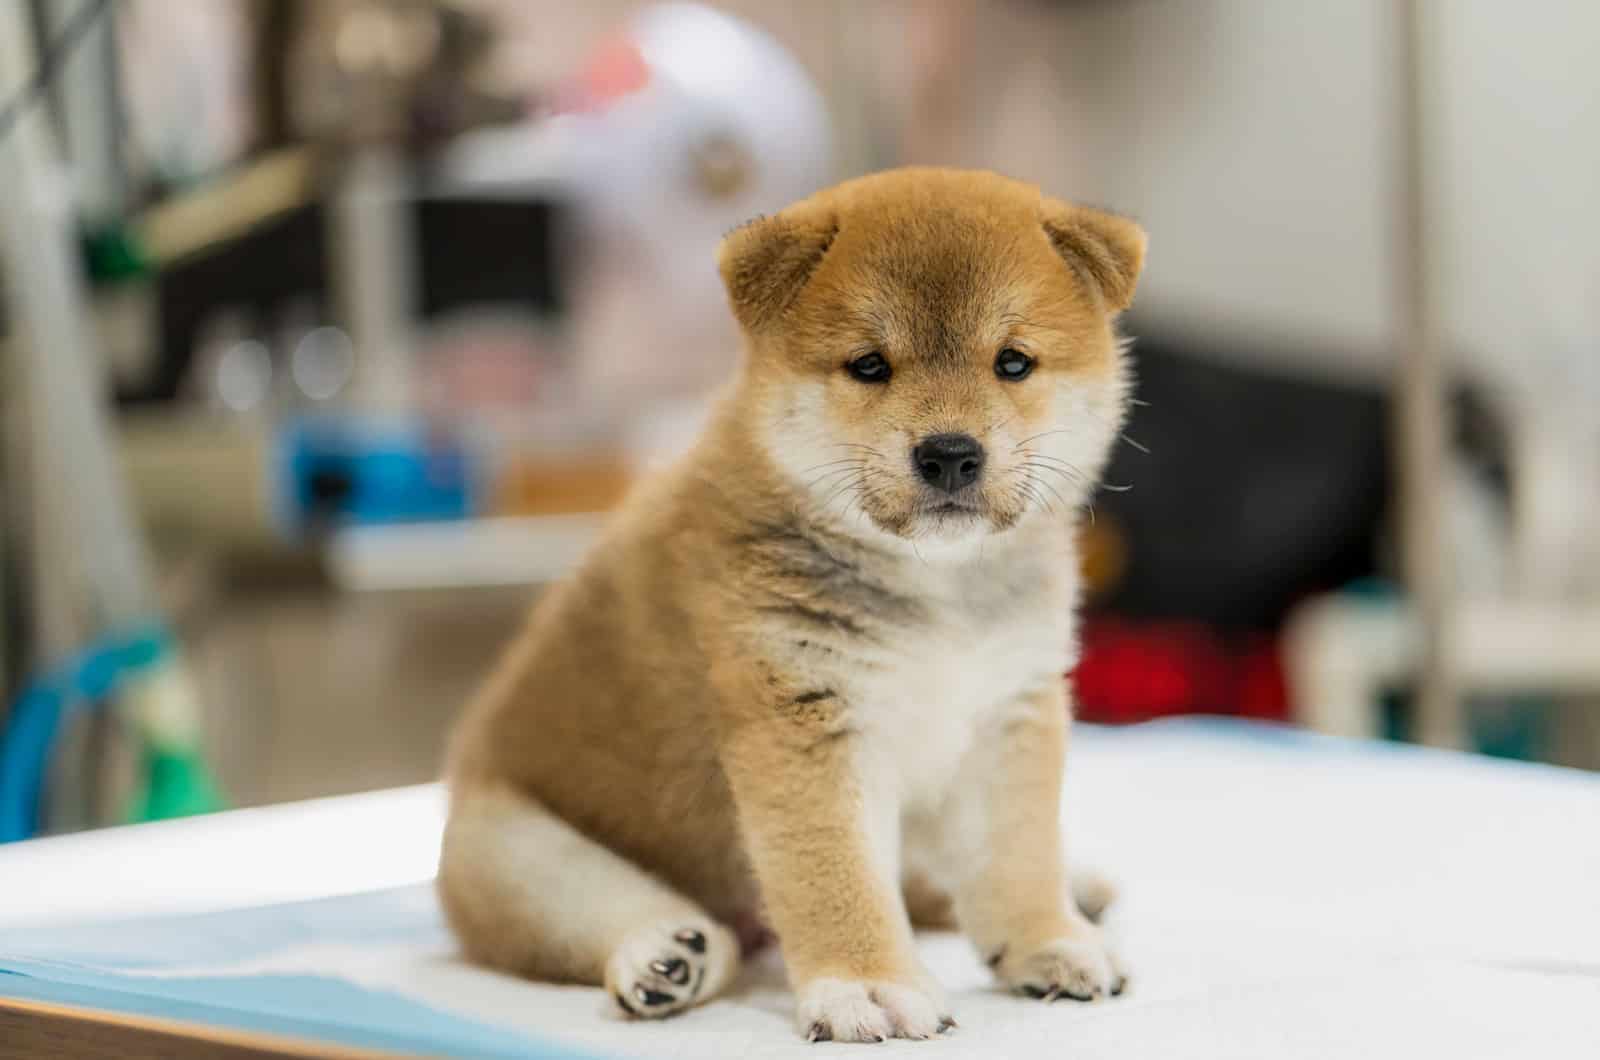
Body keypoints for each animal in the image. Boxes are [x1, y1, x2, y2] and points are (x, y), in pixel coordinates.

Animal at [435, 168, 1139, 1043]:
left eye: (1013, 362)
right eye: (869, 365)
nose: (949, 453)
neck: (936, 587)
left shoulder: (1009, 711)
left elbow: (1017, 854)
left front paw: (1047, 940)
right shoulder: (802, 718)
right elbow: (835, 875)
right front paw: (868, 984)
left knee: (930, 886)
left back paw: (1079, 892)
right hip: (513, 851)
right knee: (611, 911)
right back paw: (665, 958)